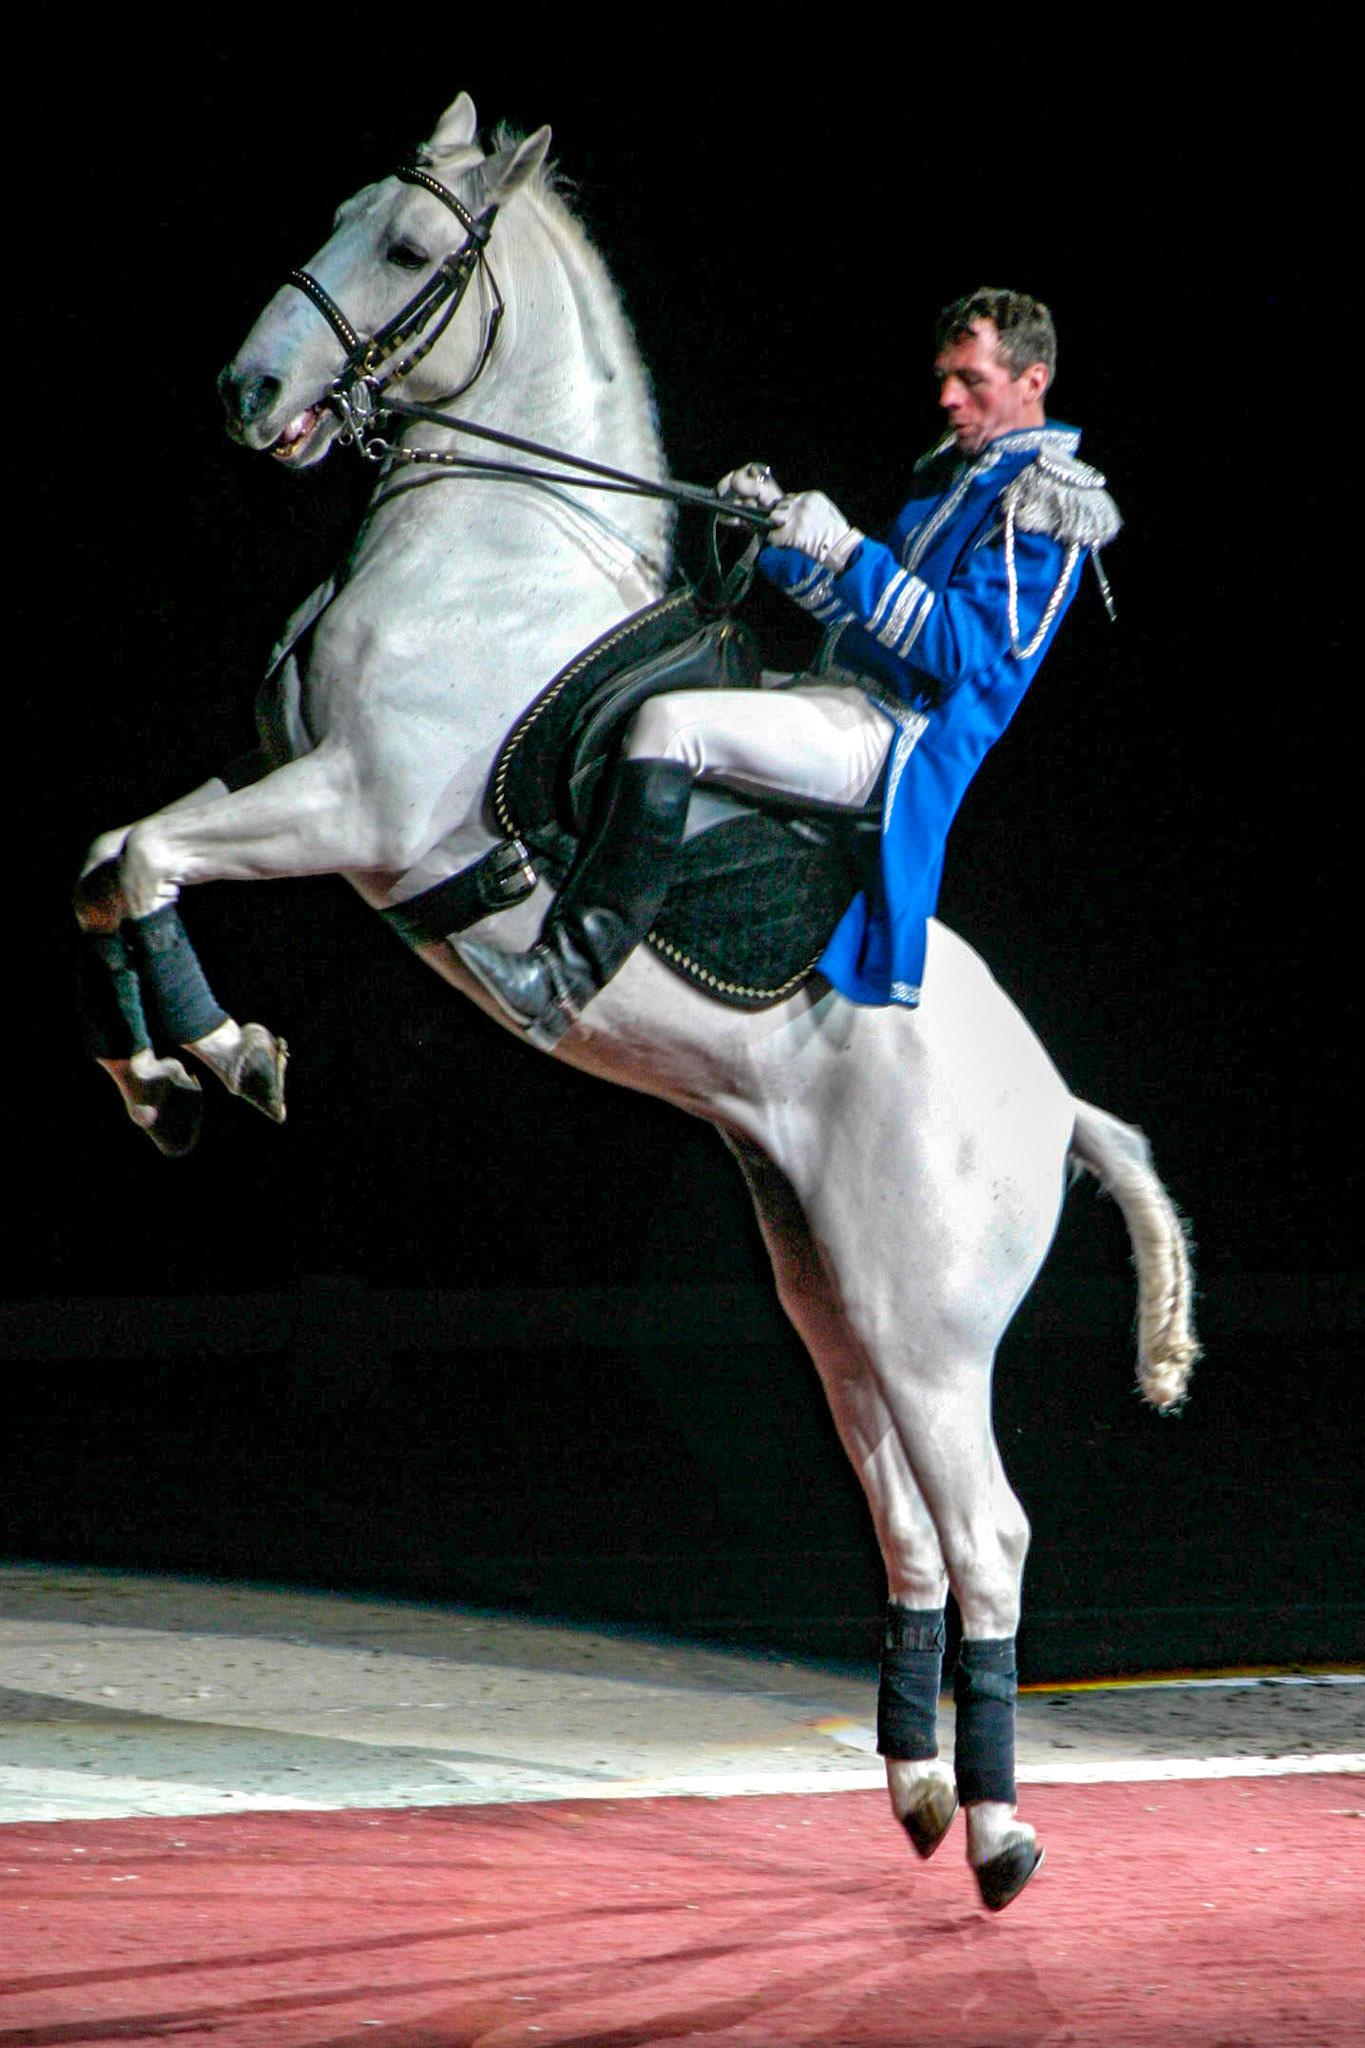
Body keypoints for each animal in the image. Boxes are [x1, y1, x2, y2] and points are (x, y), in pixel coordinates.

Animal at [73, 90, 1199, 1910]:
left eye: (408, 247)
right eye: (338, 214)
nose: (247, 395)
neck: (491, 553)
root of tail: (1057, 1102)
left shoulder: (355, 809)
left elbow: (146, 858)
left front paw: (222, 1053)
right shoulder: (281, 783)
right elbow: (113, 860)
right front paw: (173, 1076)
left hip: (930, 1322)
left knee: (988, 1531)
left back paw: (1004, 1830)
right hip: (832, 1294)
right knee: (906, 1525)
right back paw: (916, 1784)